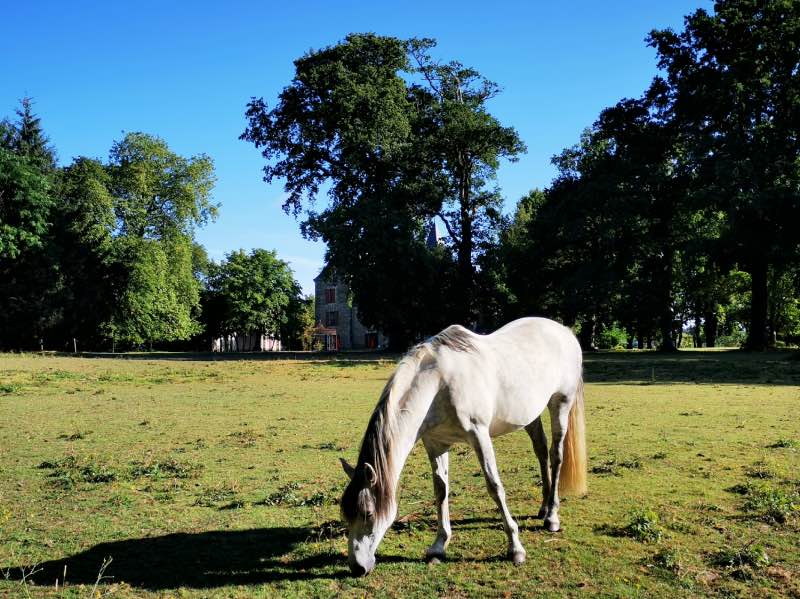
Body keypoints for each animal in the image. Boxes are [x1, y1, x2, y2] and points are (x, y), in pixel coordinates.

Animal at [338, 318, 588, 576]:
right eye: (345, 513)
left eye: (368, 513)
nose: (357, 567)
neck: (439, 383)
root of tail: (564, 331)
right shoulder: (436, 444)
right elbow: (441, 491)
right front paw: (439, 546)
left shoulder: (479, 435)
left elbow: (494, 487)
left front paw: (515, 548)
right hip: (530, 414)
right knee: (541, 450)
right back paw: (543, 507)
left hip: (561, 404)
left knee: (556, 456)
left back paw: (552, 517)